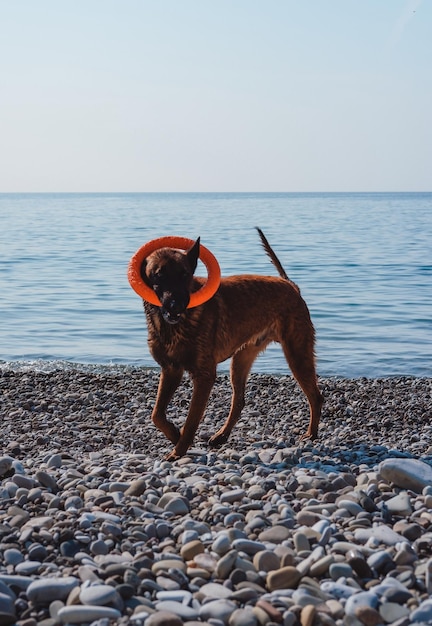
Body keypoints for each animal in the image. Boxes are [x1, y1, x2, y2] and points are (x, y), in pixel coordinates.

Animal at [140, 229, 322, 458]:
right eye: (159, 274)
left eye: (184, 274)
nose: (177, 305)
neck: (174, 325)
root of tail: (291, 285)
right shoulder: (171, 370)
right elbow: (157, 414)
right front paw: (174, 434)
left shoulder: (204, 376)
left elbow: (191, 421)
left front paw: (178, 450)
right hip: (240, 360)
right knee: (239, 401)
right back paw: (222, 435)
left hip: (297, 355)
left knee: (315, 396)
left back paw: (311, 433)